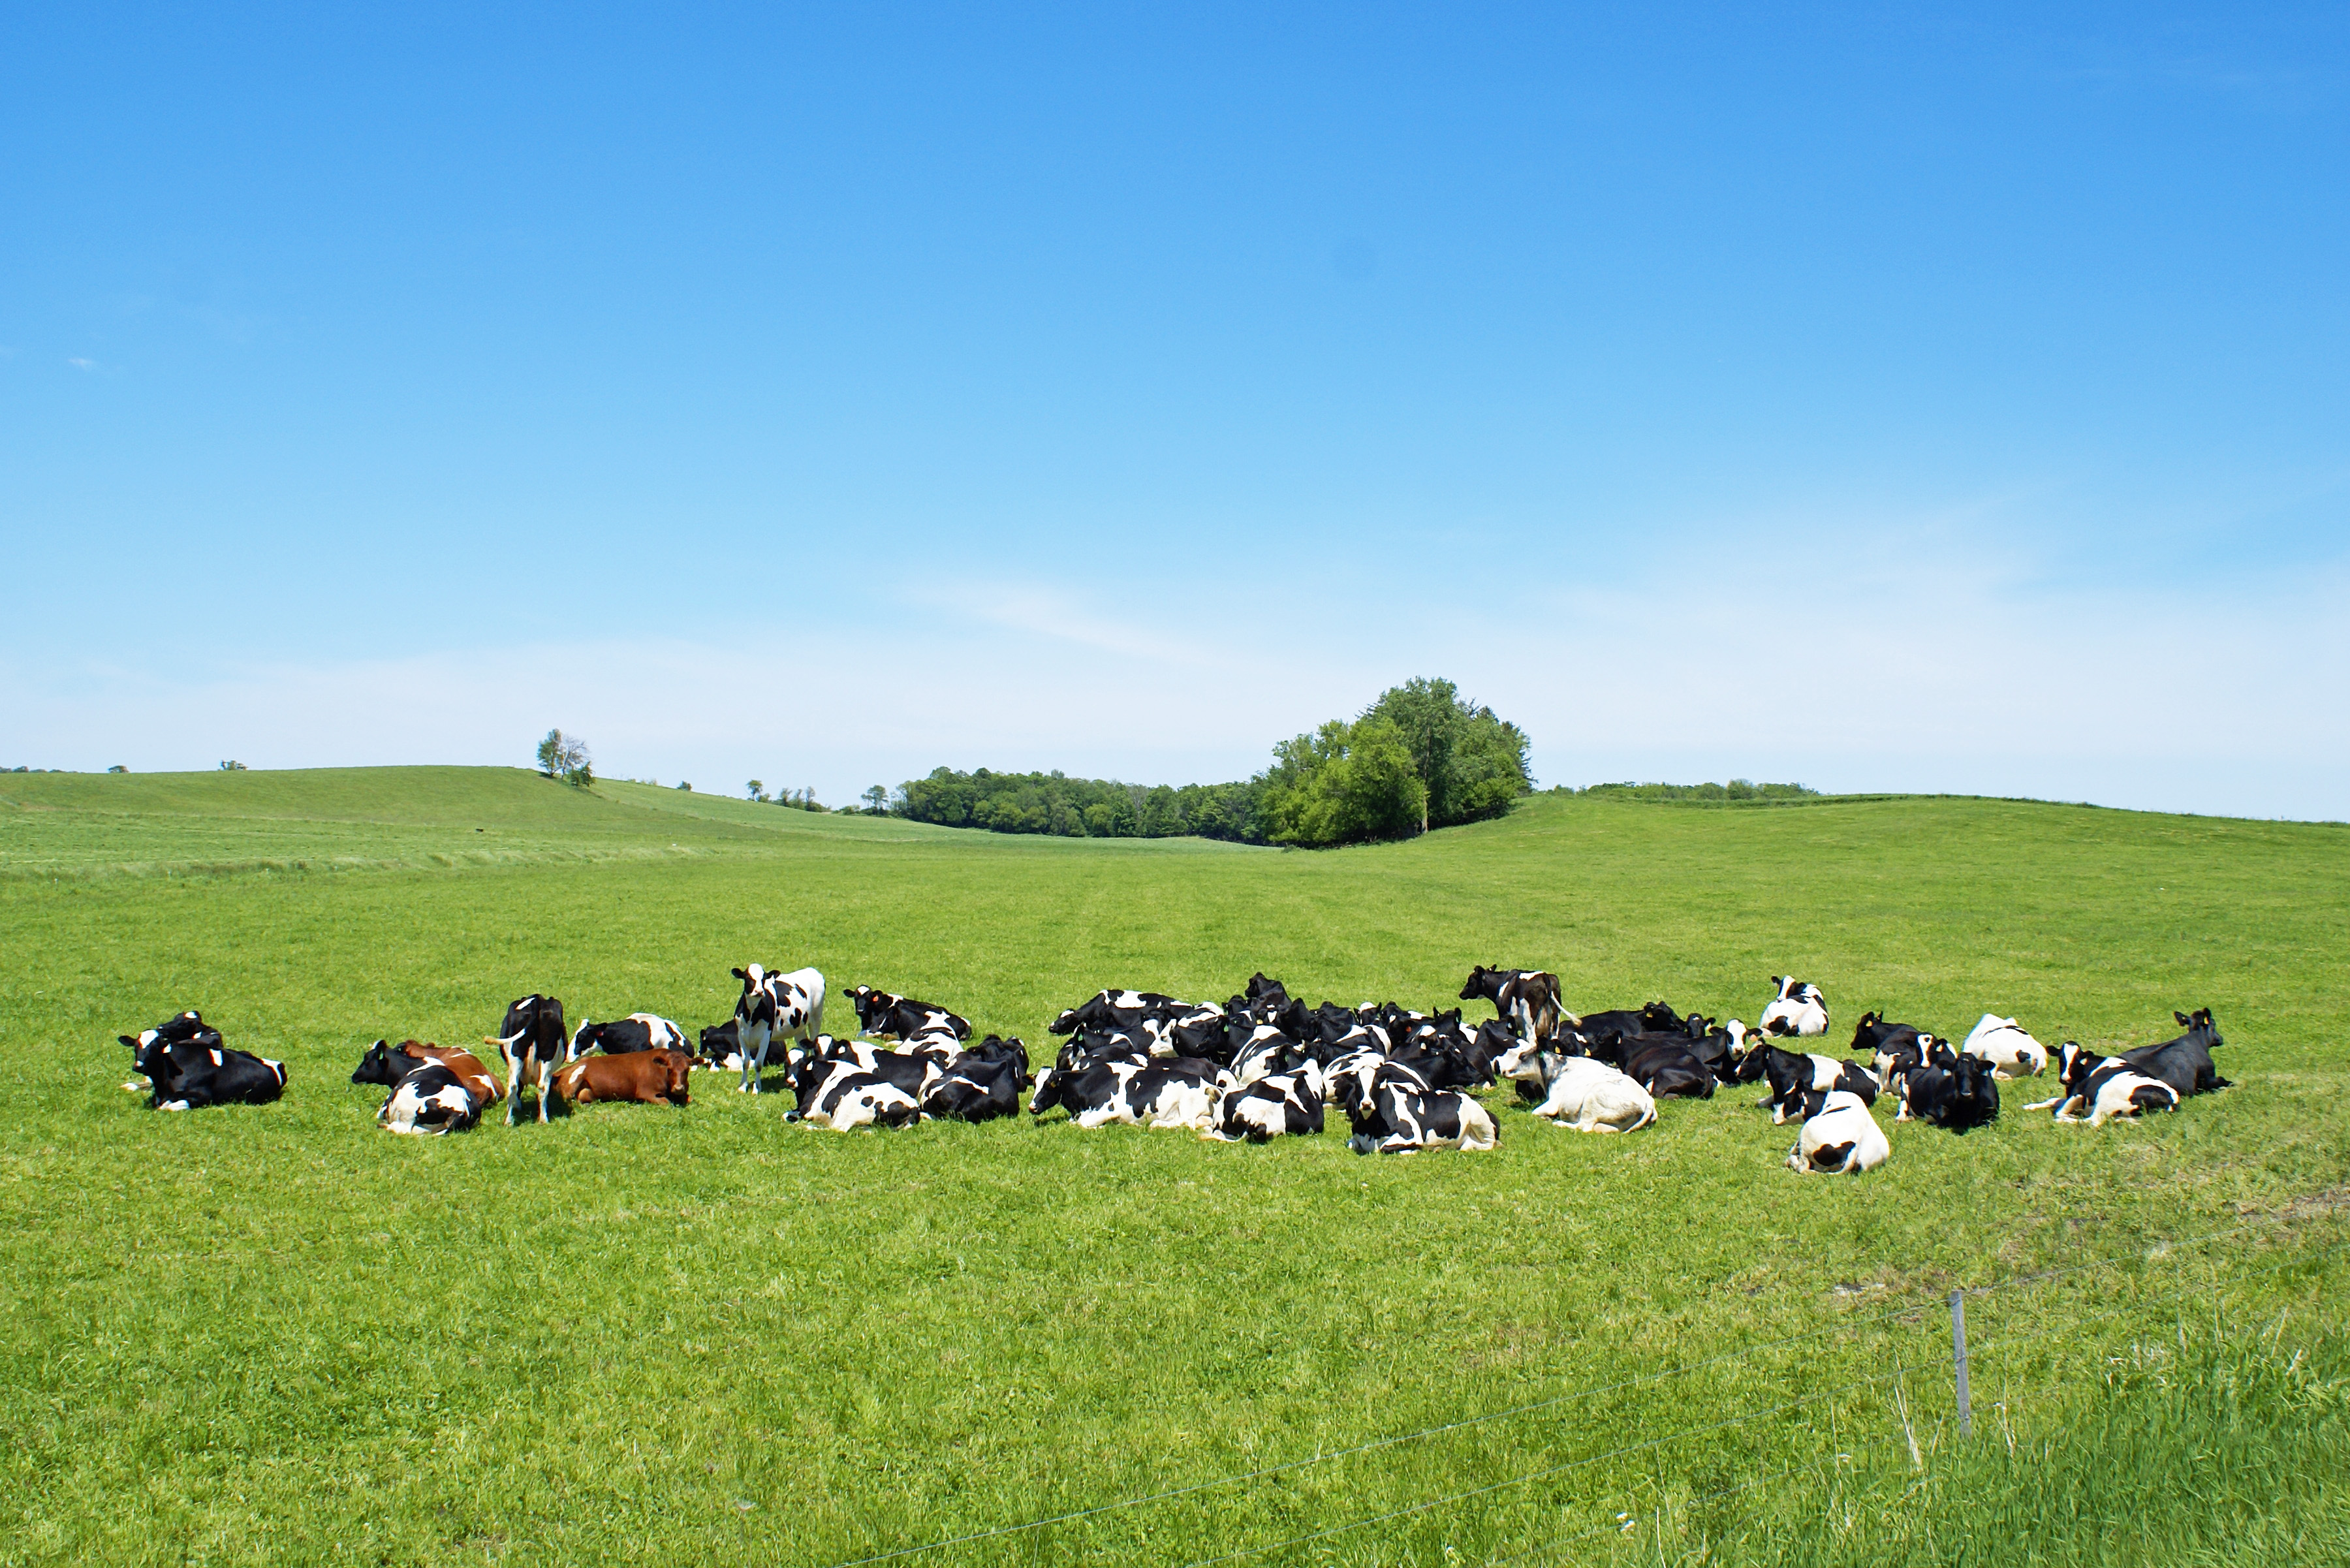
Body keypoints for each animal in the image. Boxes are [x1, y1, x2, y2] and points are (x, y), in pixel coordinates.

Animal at [482, 992, 564, 1128]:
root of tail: (538, 1000)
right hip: (545, 1057)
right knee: (538, 1086)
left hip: (518, 1055)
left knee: (514, 1086)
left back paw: (510, 1121)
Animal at [728, 964, 832, 1100]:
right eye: (748, 978)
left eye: (763, 979)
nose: (759, 992)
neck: (752, 1016)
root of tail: (811, 970)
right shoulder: (742, 1035)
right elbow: (745, 1062)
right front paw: (742, 1087)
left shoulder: (765, 1037)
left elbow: (758, 1064)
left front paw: (756, 1089)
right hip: (799, 1026)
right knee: (803, 1048)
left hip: (816, 1018)